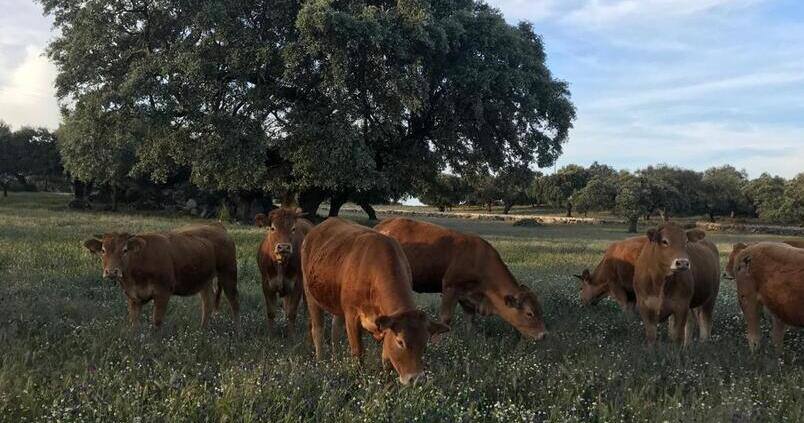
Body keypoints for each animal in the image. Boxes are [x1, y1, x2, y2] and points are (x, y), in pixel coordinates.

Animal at [83, 223, 239, 329]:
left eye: (125, 250)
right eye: (103, 250)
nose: (111, 271)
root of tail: (217, 225)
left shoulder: (163, 293)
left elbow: (157, 321)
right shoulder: (132, 296)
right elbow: (134, 323)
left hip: (228, 273)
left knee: (234, 301)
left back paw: (237, 329)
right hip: (204, 279)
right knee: (207, 302)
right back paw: (202, 330)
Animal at [301, 218, 449, 385]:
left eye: (425, 345)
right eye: (400, 342)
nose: (416, 379)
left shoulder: (386, 325)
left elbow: (386, 360)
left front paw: (387, 385)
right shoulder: (352, 315)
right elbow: (358, 353)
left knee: (335, 327)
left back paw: (336, 356)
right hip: (310, 293)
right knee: (318, 329)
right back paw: (321, 361)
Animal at [374, 217, 546, 340]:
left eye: (540, 310)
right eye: (529, 313)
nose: (544, 335)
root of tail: (383, 225)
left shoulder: (467, 295)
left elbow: (470, 319)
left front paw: (470, 340)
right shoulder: (450, 287)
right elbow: (445, 319)